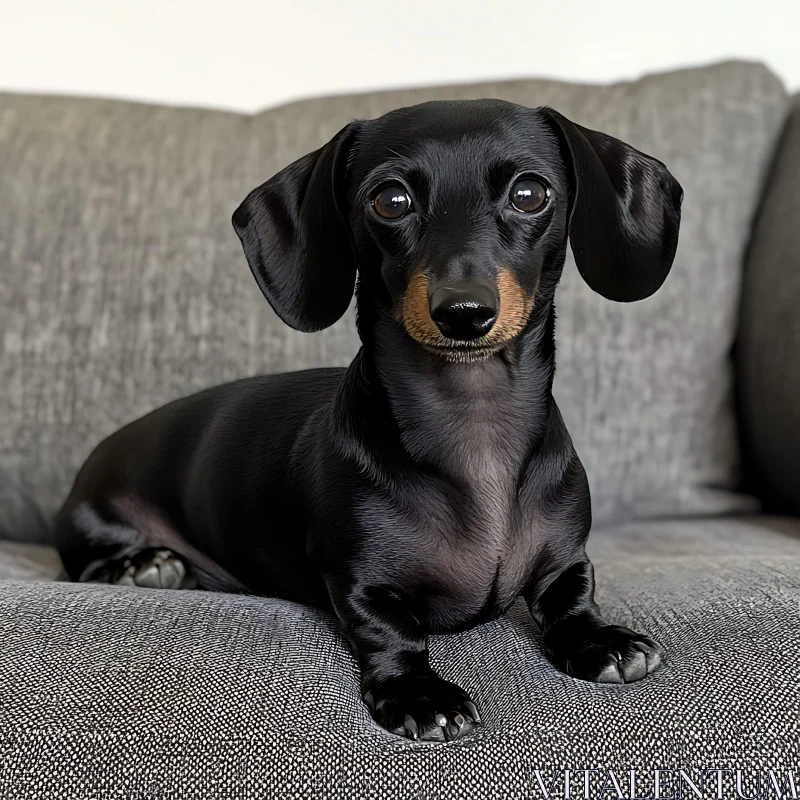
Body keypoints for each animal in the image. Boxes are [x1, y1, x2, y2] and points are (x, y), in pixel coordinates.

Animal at [56, 100, 680, 744]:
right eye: (391, 200)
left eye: (530, 193)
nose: (464, 312)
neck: (475, 429)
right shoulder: (358, 579)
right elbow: (392, 632)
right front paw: (420, 693)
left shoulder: (567, 559)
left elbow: (571, 600)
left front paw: (602, 641)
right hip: (90, 520)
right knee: (85, 560)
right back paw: (145, 564)